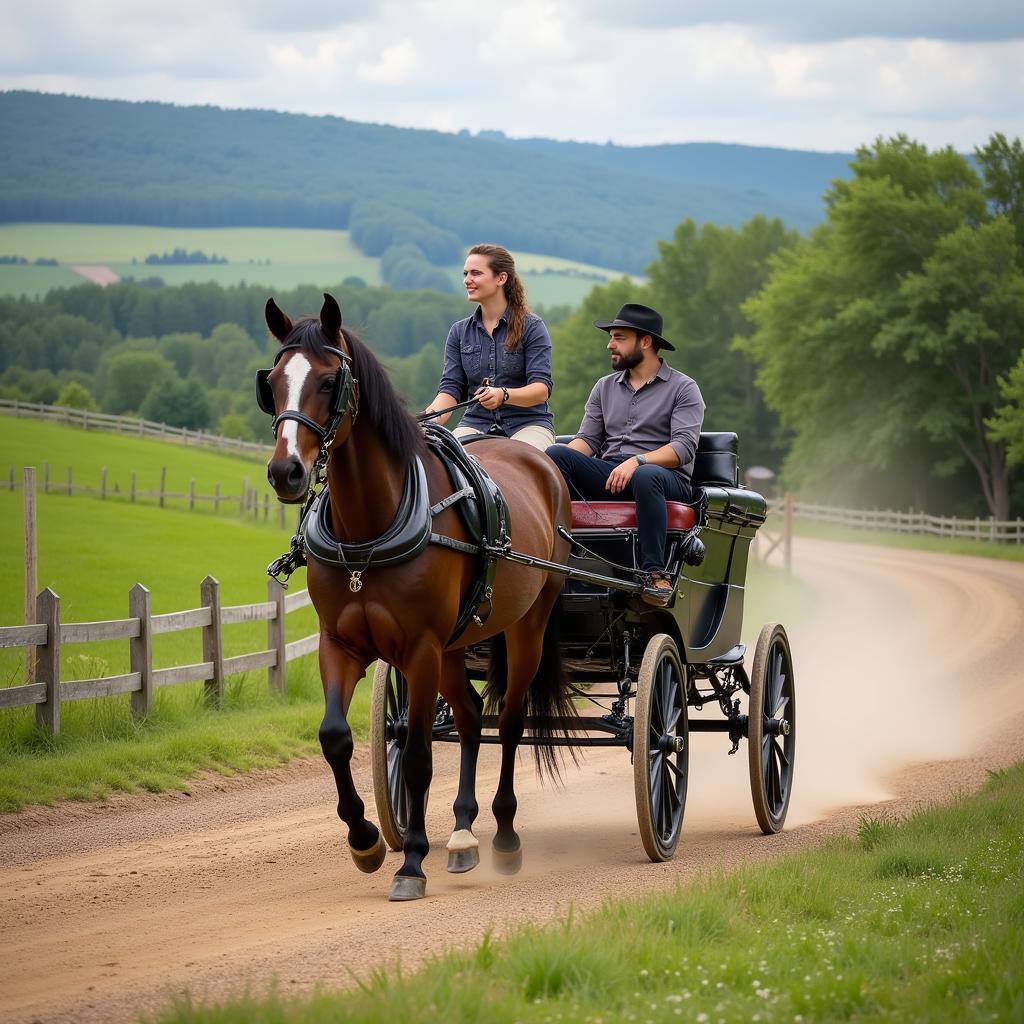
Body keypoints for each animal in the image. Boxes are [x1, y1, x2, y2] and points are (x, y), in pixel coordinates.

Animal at [258, 292, 577, 901]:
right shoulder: (341, 644)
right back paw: (462, 834)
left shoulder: (420, 650)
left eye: (330, 380)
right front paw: (365, 840)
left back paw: (503, 835)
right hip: (456, 645)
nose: (286, 471)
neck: (370, 528)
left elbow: (420, 758)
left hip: (525, 628)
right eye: (273, 382)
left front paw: (410, 862)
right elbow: (336, 737)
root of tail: (546, 468)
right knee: (473, 718)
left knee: (511, 722)